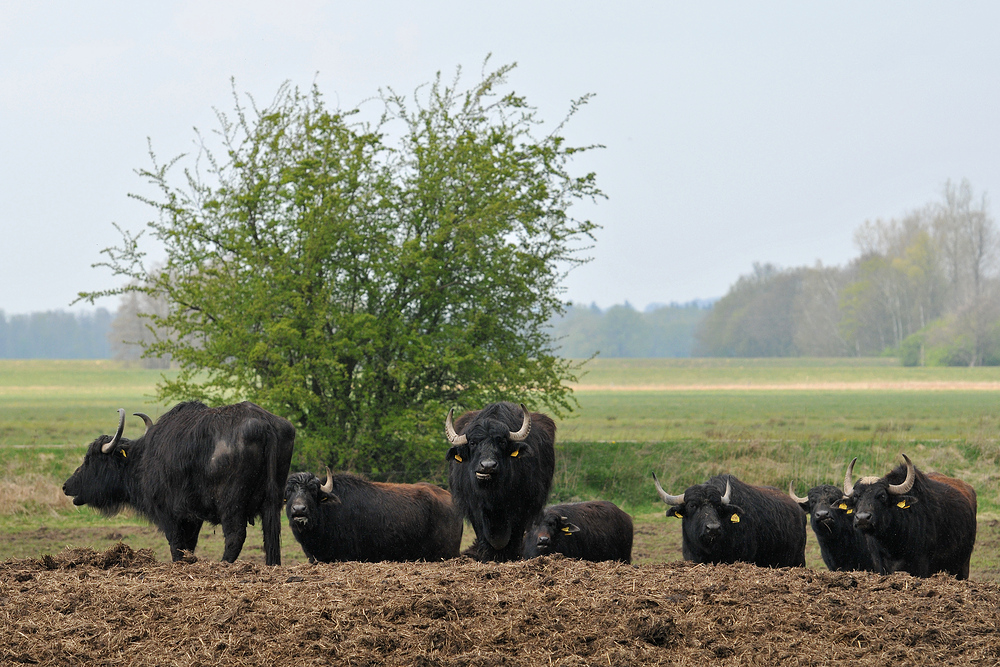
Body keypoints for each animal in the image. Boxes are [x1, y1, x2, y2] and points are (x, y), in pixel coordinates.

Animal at [63, 404, 292, 568]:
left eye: (90, 459)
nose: (66, 486)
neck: (143, 459)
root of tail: (265, 425)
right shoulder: (193, 518)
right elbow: (189, 546)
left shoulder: (170, 514)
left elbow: (177, 546)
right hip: (272, 503)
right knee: (271, 538)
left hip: (231, 505)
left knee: (235, 537)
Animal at [448, 402, 560, 564]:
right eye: (473, 443)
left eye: (501, 442)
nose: (487, 466)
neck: (493, 496)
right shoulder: (474, 508)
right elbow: (483, 537)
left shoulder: (521, 508)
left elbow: (514, 537)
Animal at [652, 470, 808, 568]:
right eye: (692, 505)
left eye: (718, 507)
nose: (713, 529)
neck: (711, 549)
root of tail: (799, 510)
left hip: (799, 560)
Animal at [844, 454, 976, 580]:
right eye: (856, 496)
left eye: (882, 496)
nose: (862, 518)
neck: (892, 544)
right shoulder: (879, 564)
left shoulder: (921, 566)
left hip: (964, 565)